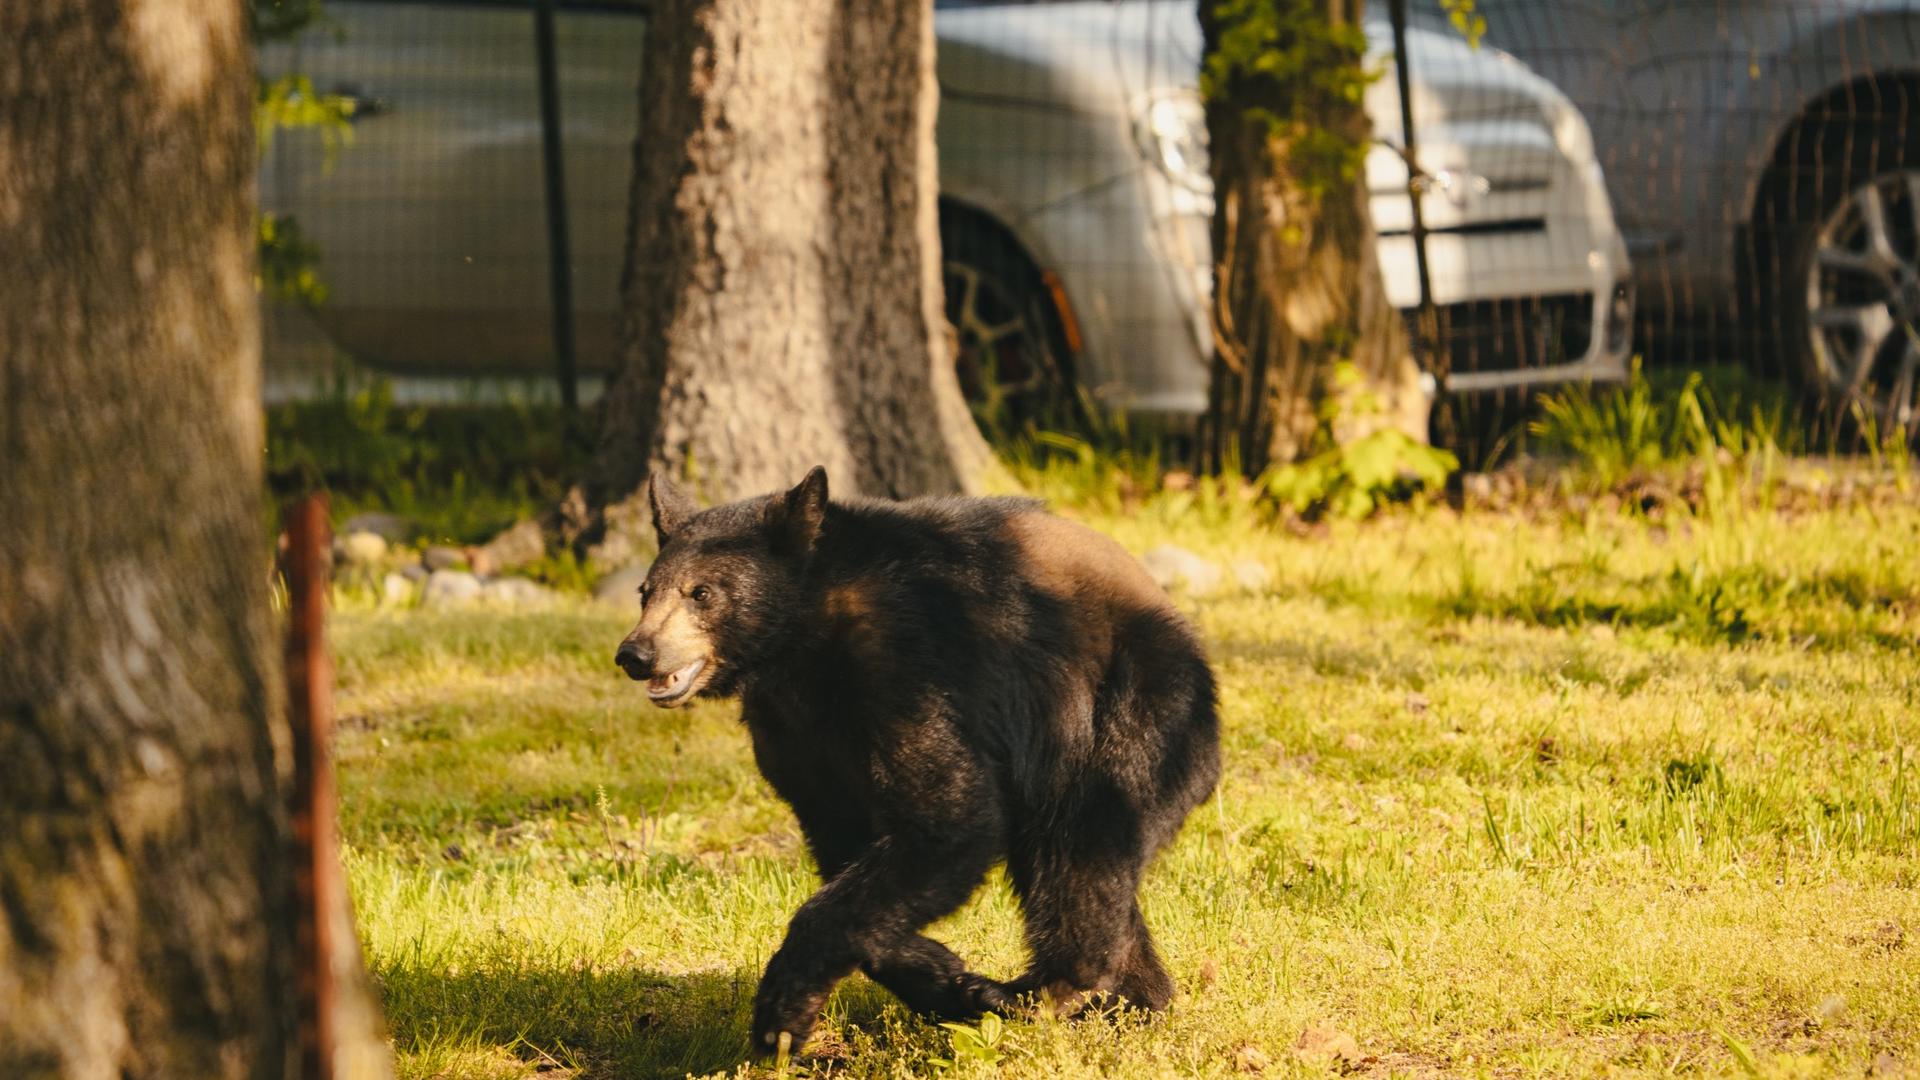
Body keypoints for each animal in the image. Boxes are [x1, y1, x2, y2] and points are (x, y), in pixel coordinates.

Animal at [614, 466, 1220, 1055]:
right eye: (645, 591)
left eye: (701, 592)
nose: (636, 654)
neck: (805, 644)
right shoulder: (799, 735)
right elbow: (849, 845)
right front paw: (940, 974)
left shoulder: (907, 668)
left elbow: (946, 819)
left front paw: (781, 1011)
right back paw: (1133, 1003)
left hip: (1126, 705)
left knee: (1086, 840)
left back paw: (1046, 988)